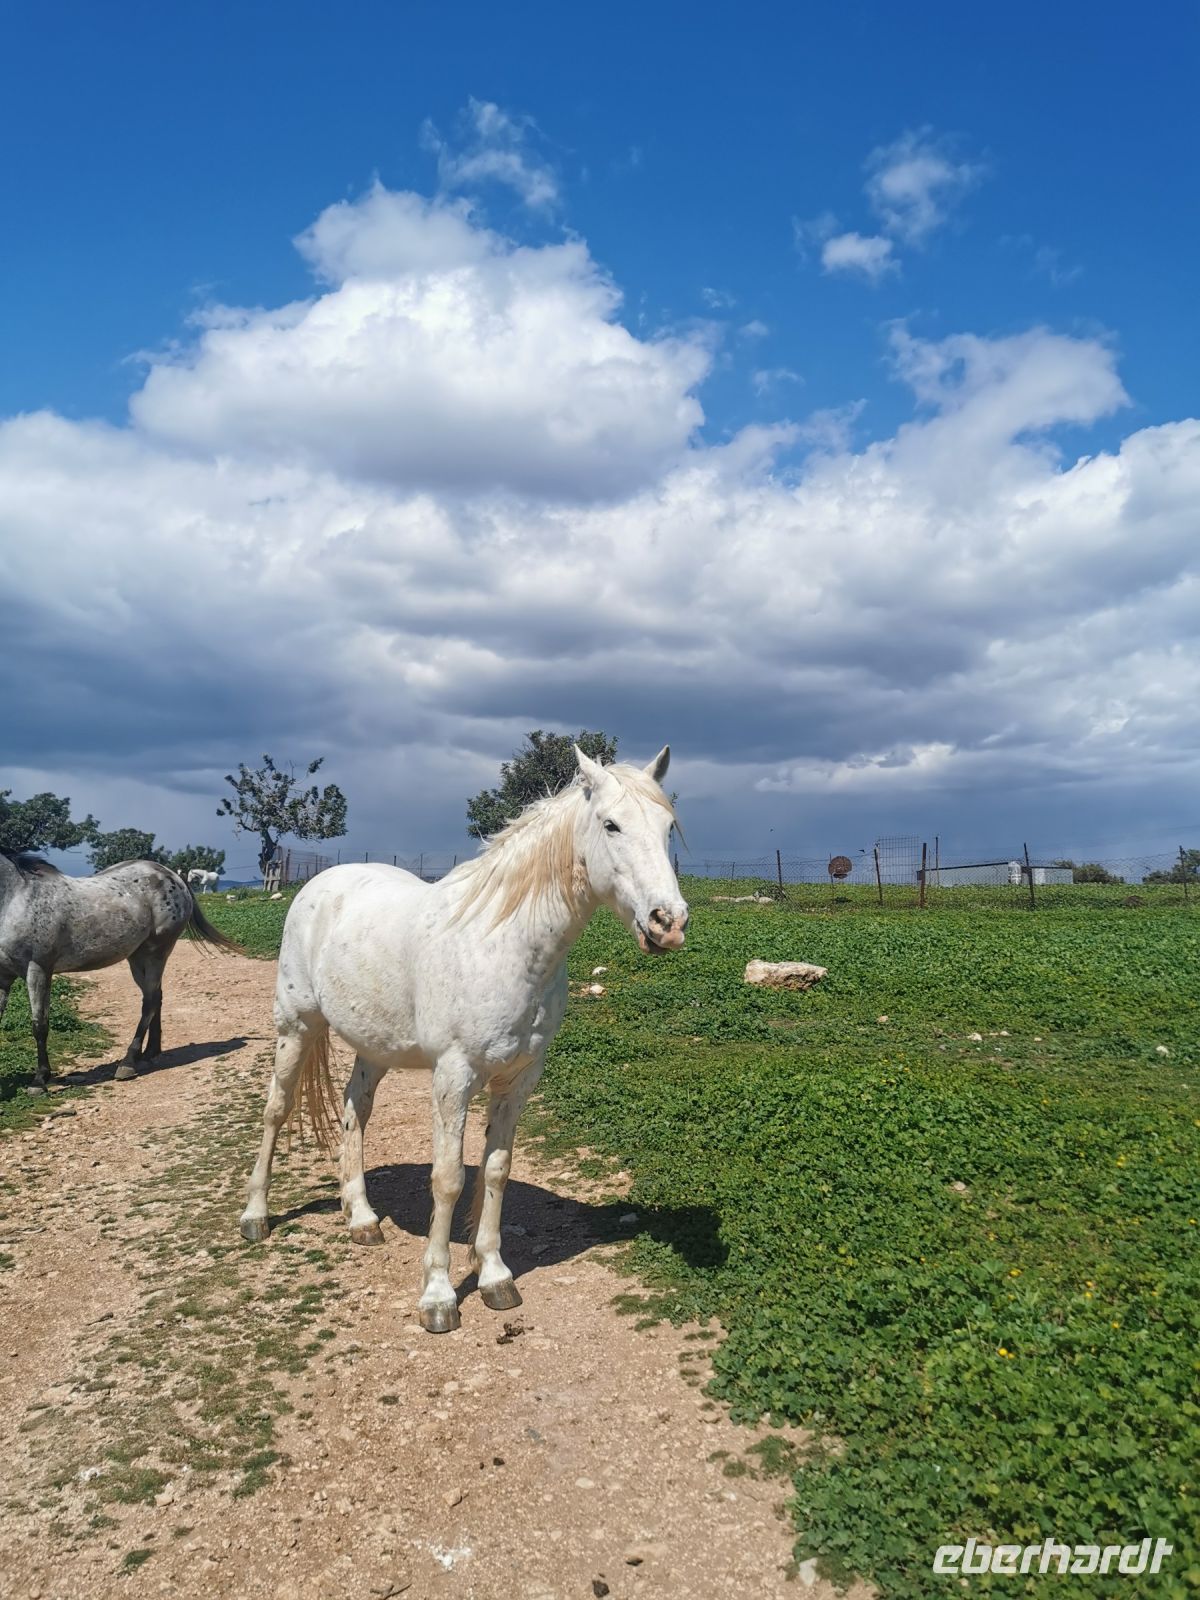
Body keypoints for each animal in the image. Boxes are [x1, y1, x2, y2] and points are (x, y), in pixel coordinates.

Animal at [0, 854, 238, 1093]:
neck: (16, 899)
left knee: (150, 1003)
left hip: (157, 953)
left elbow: (39, 1025)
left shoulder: (38, 969)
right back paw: (150, 1053)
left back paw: (128, 1063)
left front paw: (40, 1080)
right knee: (156, 998)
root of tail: (172, 876)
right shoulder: (4, 977)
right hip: (138, 958)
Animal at [240, 744, 688, 1333]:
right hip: (295, 1026)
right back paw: (255, 1216)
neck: (503, 944)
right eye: (610, 825)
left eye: (667, 827)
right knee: (276, 1108)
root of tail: (318, 884)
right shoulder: (453, 1077)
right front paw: (438, 1296)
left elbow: (496, 1169)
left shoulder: (519, 1079)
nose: (668, 923)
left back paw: (361, 1219)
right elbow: (449, 1178)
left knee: (355, 1109)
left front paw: (495, 1276)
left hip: (373, 1047)